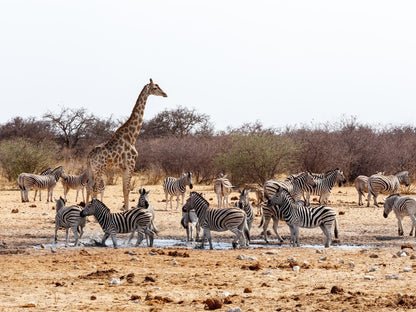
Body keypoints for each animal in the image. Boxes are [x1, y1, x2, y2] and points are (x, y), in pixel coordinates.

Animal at [87, 78, 167, 210]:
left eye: (159, 86)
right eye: (155, 88)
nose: (165, 94)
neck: (132, 137)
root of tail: (89, 156)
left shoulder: (124, 167)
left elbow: (124, 190)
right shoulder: (131, 165)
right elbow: (127, 190)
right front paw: (128, 210)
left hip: (92, 170)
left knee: (89, 188)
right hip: (100, 169)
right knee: (94, 189)